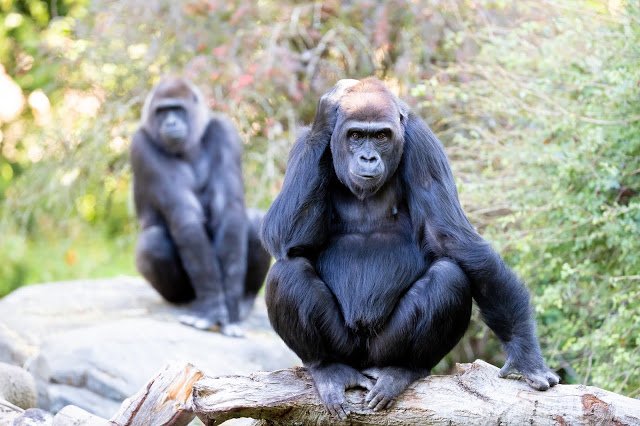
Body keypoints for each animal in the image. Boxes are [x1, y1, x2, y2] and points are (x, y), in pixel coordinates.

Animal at [130, 76, 270, 336]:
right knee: (153, 241)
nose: (171, 122)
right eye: (161, 112)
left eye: (176, 109)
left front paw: (231, 304)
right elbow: (185, 217)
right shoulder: (141, 145)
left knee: (256, 222)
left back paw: (245, 300)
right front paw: (213, 304)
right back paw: (190, 302)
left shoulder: (224, 132)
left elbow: (229, 210)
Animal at [260, 78, 560, 418]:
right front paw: (328, 111)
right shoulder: (303, 147)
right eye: (355, 136)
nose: (367, 158)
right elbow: (283, 234)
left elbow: (455, 241)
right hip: (347, 351)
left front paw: (526, 355)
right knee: (288, 271)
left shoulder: (423, 146)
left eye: (380, 136)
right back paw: (327, 368)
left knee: (448, 277)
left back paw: (403, 369)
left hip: (382, 351)